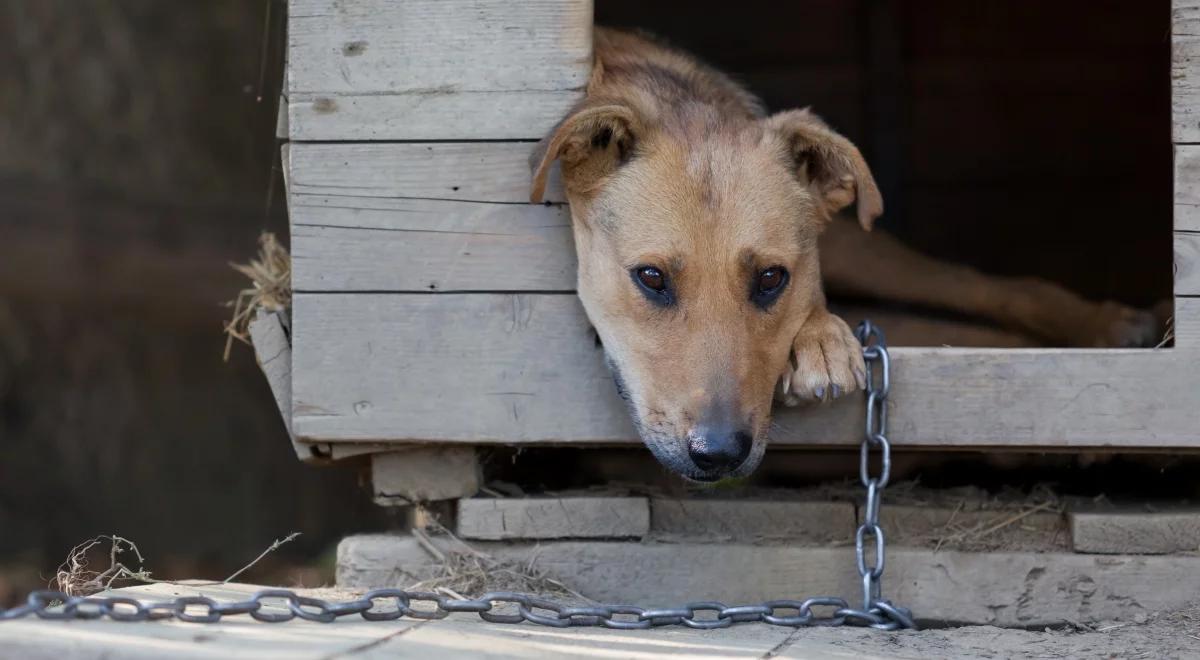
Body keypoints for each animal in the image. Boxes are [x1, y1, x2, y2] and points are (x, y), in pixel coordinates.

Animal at [528, 27, 1161, 482]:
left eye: (771, 278)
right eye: (651, 278)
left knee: (982, 288)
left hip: (867, 247)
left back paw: (1110, 332)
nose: (720, 454)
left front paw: (821, 338)